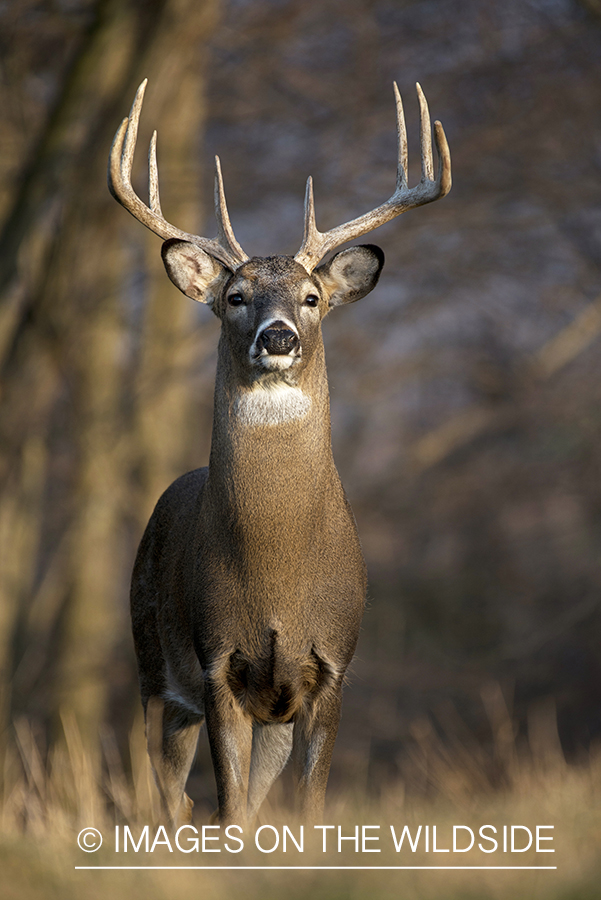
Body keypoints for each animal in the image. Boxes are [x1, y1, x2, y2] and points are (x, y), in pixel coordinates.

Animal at [108, 79, 448, 828]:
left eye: (313, 296)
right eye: (235, 296)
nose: (279, 335)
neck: (277, 579)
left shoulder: (331, 666)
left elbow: (308, 806)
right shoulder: (215, 663)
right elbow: (229, 807)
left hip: (267, 717)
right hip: (151, 665)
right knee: (168, 794)